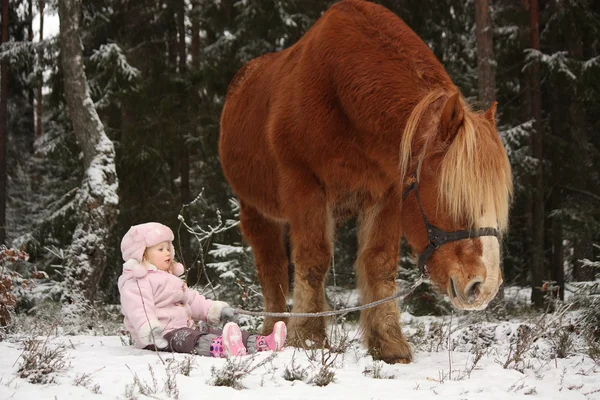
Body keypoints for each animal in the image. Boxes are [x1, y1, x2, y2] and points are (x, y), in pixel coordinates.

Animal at [218, 0, 512, 364]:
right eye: (451, 195)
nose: (484, 287)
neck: (342, 96)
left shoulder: (387, 195)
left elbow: (379, 263)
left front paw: (388, 343)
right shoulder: (305, 187)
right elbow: (312, 260)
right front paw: (307, 339)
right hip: (256, 210)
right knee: (272, 267)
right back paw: (272, 329)